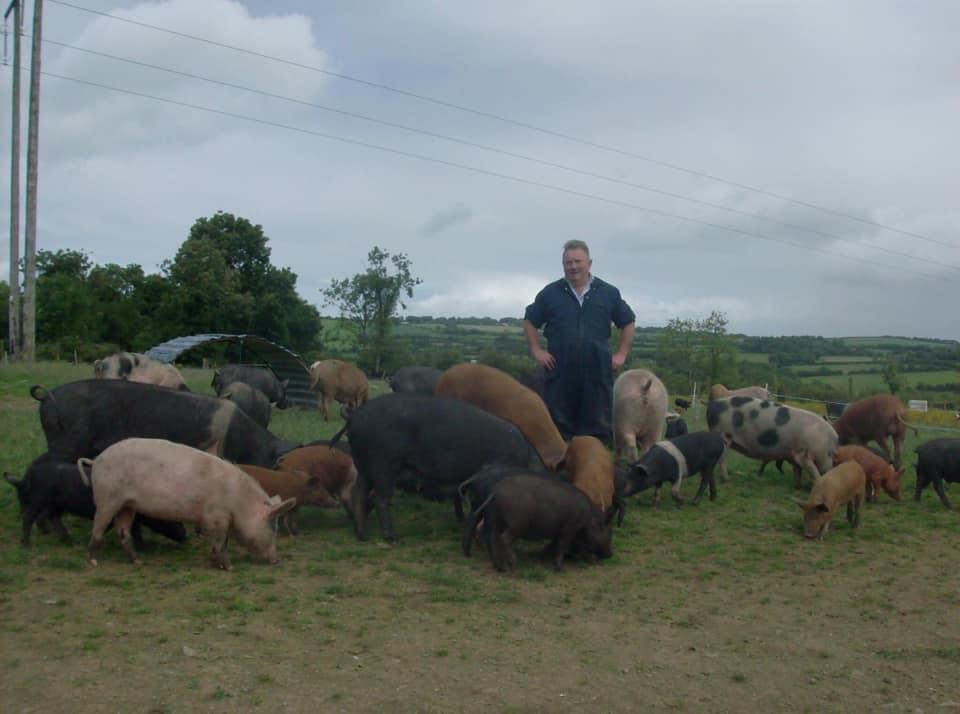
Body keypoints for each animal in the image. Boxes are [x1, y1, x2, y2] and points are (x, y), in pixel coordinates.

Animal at [80, 434, 294, 568]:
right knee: (98, 528)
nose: (277, 560)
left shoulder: (220, 518)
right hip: (107, 498)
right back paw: (93, 562)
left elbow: (221, 541)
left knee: (123, 531)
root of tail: (96, 459)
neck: (238, 500)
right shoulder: (216, 516)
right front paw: (229, 567)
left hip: (127, 504)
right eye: (272, 529)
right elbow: (219, 540)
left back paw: (138, 561)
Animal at [462, 470, 612, 572]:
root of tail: (495, 491)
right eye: (603, 527)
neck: (587, 518)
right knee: (503, 538)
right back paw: (514, 564)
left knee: (492, 537)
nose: (611, 554)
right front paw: (560, 568)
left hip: (495, 518)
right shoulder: (569, 529)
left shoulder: (560, 532)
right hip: (517, 524)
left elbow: (553, 545)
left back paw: (500, 567)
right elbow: (562, 545)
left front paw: (541, 557)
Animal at [704, 394, 840, 490]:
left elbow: (797, 471)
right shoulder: (804, 454)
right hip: (723, 436)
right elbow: (815, 473)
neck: (827, 447)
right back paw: (727, 480)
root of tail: (712, 404)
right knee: (722, 459)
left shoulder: (795, 454)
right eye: (833, 459)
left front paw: (797, 487)